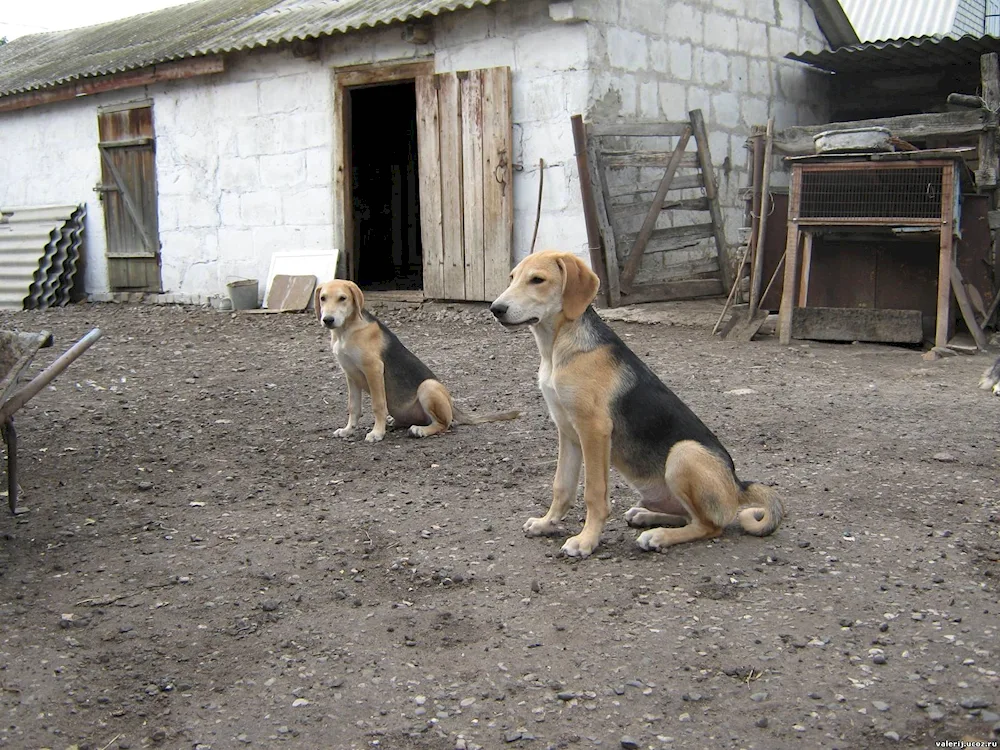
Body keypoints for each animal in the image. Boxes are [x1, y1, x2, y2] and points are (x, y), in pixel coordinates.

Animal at [314, 280, 520, 444]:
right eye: (323, 298)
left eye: (342, 298)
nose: (328, 320)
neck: (345, 331)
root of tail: (453, 407)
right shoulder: (351, 374)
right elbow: (353, 407)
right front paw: (348, 430)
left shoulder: (374, 369)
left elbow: (378, 405)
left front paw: (377, 433)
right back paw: (396, 422)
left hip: (428, 386)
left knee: (445, 424)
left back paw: (419, 430)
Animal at [488, 251, 784, 560]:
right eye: (512, 278)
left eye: (537, 280)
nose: (496, 309)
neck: (556, 346)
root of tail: (738, 485)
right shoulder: (567, 431)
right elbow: (562, 486)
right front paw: (547, 523)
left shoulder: (594, 430)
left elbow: (594, 493)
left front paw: (586, 540)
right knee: (688, 516)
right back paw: (645, 516)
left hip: (684, 452)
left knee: (710, 526)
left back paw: (658, 535)